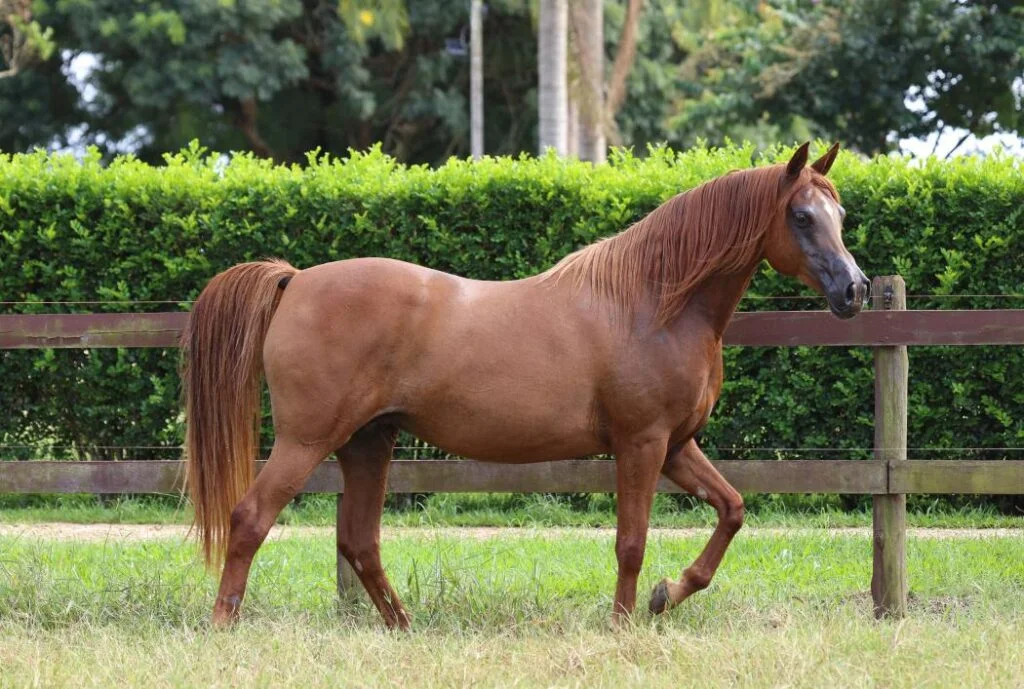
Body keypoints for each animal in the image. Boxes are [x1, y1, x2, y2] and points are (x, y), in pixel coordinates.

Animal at [181, 142, 869, 629]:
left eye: (839, 214)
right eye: (801, 216)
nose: (855, 289)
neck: (653, 301)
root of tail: (295, 280)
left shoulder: (677, 446)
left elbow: (732, 510)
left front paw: (666, 594)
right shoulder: (641, 444)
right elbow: (631, 541)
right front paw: (623, 623)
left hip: (368, 443)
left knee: (358, 541)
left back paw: (405, 627)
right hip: (307, 441)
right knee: (251, 518)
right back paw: (222, 625)